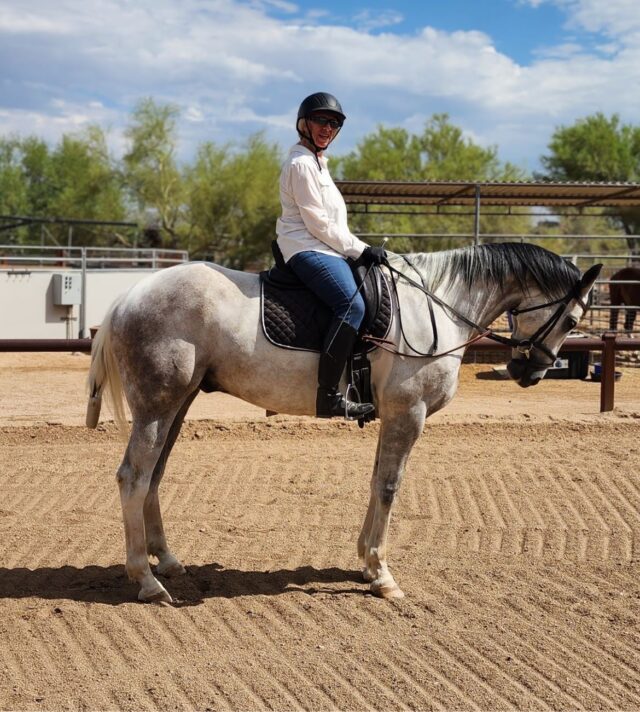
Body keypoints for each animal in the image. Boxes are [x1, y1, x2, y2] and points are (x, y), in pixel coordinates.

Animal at [86, 243, 601, 603]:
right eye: (573, 319)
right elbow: (390, 486)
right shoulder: (408, 413)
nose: (530, 372)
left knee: (154, 476)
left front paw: (367, 565)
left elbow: (377, 483)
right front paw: (383, 575)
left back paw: (168, 562)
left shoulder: (394, 416)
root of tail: (128, 296)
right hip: (158, 406)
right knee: (133, 477)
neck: (437, 305)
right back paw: (146, 580)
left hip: (179, 403)